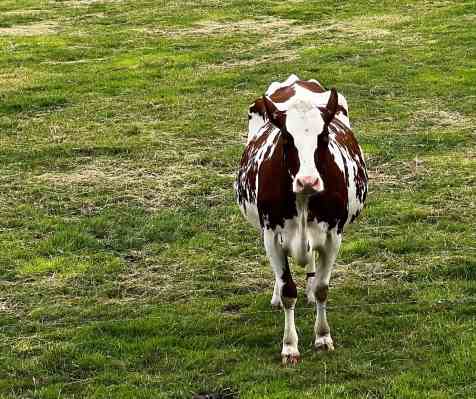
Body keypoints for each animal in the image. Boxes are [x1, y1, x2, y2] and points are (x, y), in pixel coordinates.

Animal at [234, 73, 368, 364]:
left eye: (324, 135)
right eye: (286, 138)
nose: (308, 180)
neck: (304, 199)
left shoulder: (332, 237)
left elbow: (322, 289)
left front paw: (323, 337)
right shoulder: (272, 236)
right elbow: (287, 291)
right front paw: (290, 346)